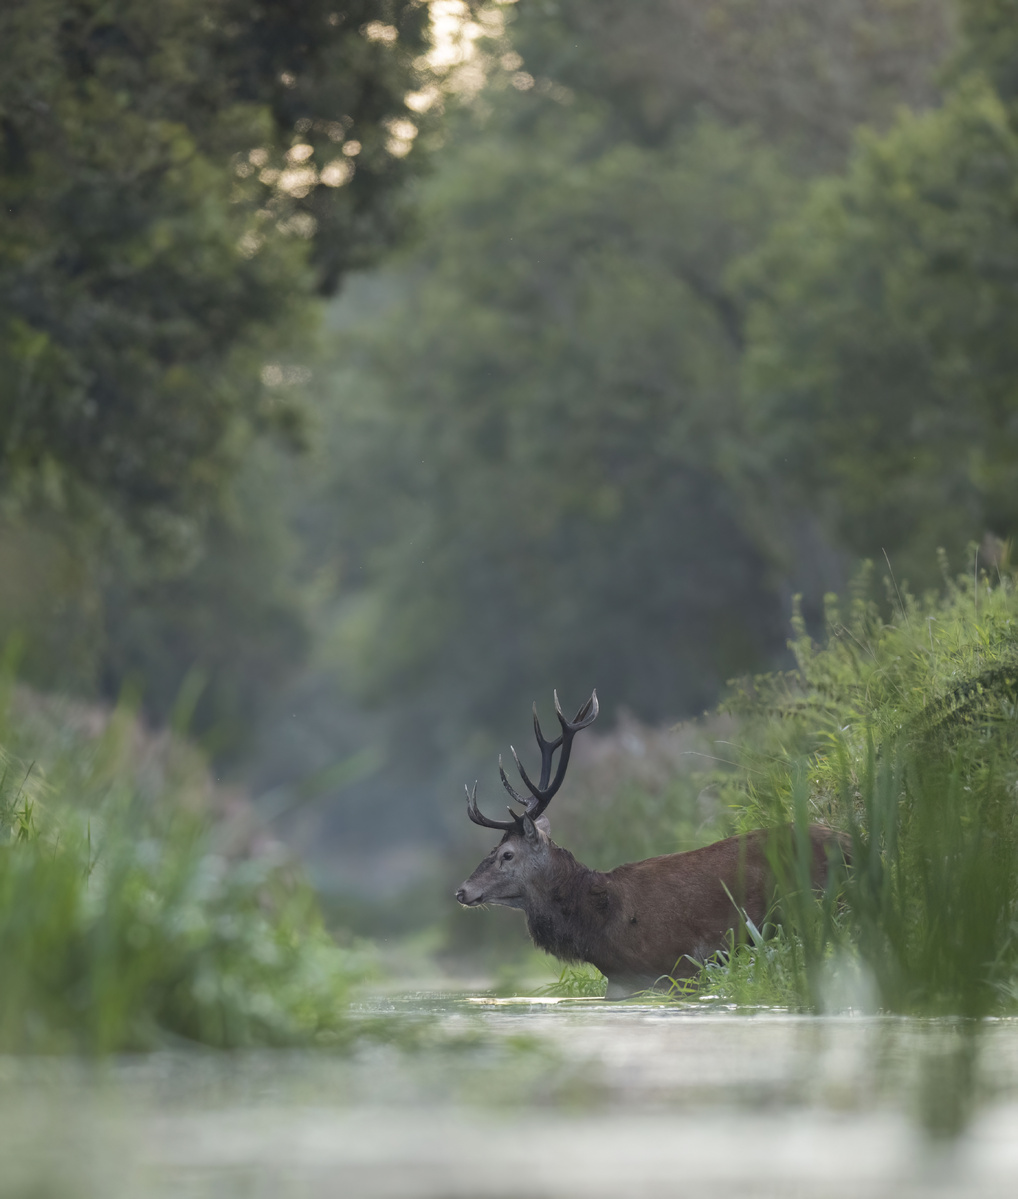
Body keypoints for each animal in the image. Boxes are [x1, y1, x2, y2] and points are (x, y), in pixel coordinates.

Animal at [456, 690, 850, 998]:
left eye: (506, 854)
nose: (462, 890)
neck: (600, 924)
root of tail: (852, 840)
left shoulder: (681, 966)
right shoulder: (621, 982)